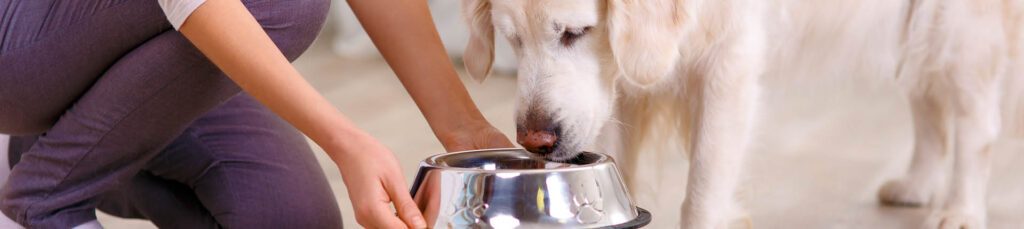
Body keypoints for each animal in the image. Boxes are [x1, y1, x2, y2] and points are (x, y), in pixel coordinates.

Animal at [466, 0, 1024, 229]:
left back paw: (960, 210)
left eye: (575, 32)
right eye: (513, 40)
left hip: (958, 28)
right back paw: (916, 186)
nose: (536, 140)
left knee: (976, 125)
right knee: (928, 107)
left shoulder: (727, 63)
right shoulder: (624, 87)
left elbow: (702, 196)